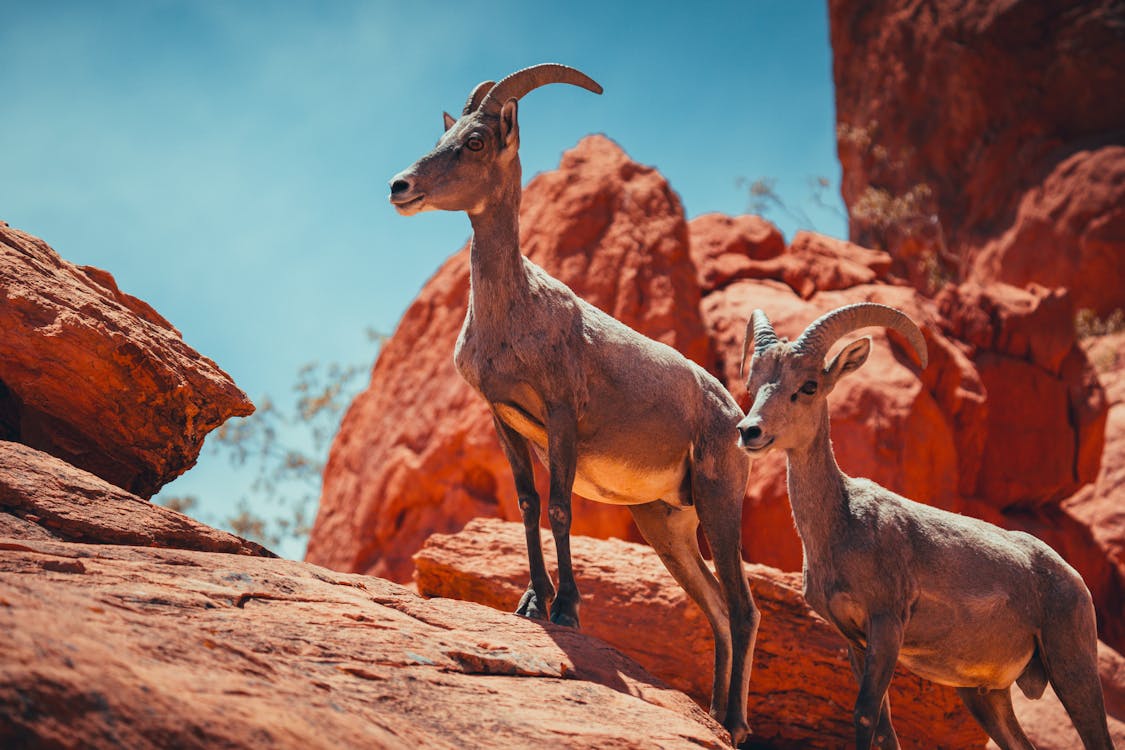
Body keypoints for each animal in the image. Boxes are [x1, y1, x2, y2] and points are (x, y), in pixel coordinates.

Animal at [384, 64, 756, 746]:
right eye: (444, 135)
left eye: (475, 142)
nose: (401, 186)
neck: (515, 314)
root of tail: (735, 415)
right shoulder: (505, 420)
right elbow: (529, 505)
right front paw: (531, 604)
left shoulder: (560, 418)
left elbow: (559, 509)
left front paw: (566, 611)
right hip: (666, 525)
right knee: (716, 608)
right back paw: (716, 716)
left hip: (720, 502)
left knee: (743, 610)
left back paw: (737, 725)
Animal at [733, 303, 1111, 750]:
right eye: (754, 384)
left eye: (808, 386)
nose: (750, 432)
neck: (841, 526)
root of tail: (1074, 579)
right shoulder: (855, 641)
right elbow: (883, 727)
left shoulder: (887, 627)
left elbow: (865, 716)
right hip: (983, 695)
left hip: (1073, 670)